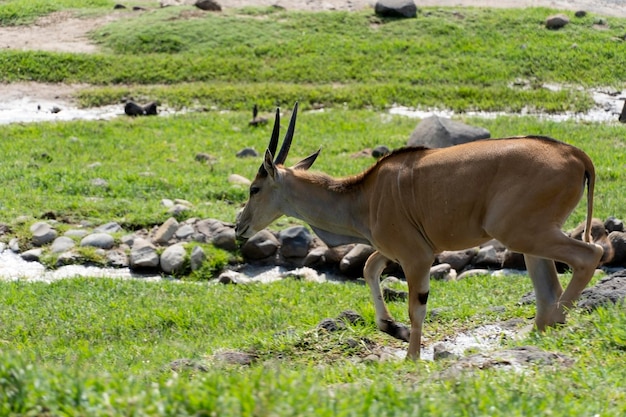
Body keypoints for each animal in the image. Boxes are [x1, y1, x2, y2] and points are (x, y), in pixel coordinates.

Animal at [232, 102, 604, 360]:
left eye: (254, 188)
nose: (238, 227)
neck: (364, 194)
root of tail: (577, 155)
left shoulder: (417, 257)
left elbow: (416, 307)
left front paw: (410, 355)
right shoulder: (396, 251)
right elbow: (369, 269)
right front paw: (391, 328)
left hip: (521, 233)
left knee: (590, 255)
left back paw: (556, 319)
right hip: (530, 240)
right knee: (549, 290)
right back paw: (539, 332)